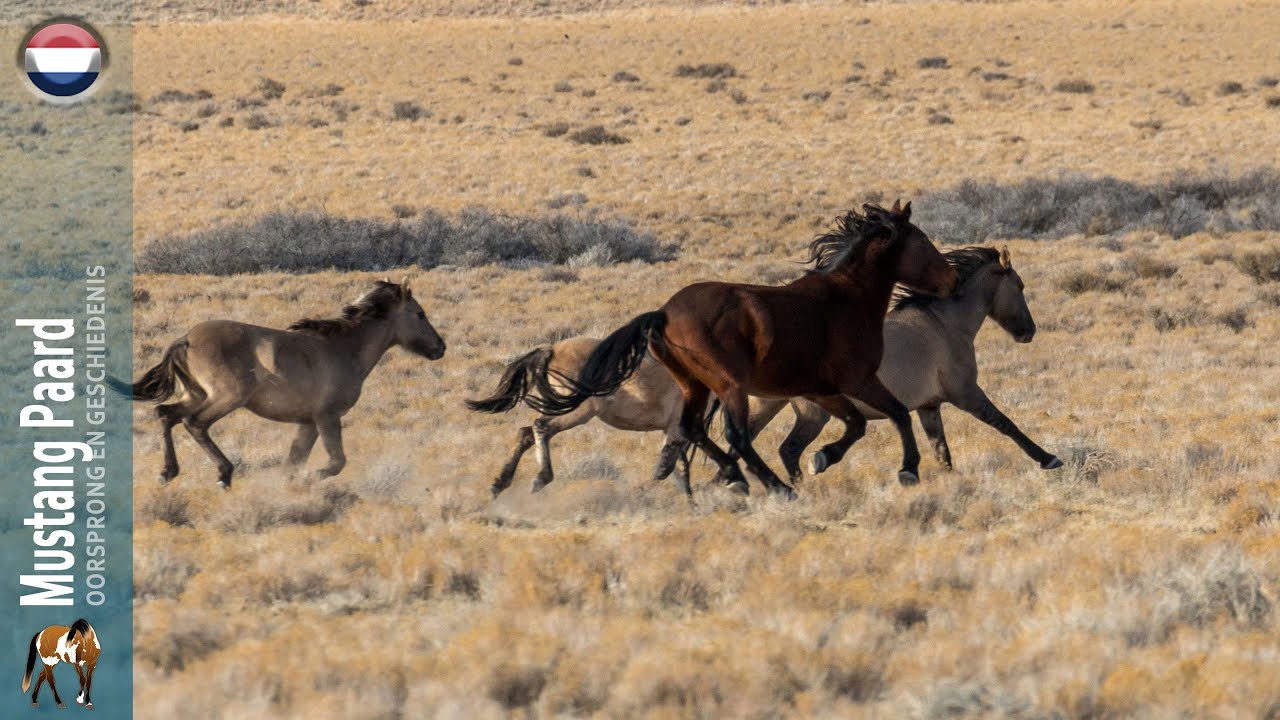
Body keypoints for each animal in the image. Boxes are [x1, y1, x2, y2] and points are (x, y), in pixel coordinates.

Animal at [109, 278, 445, 489]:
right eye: (420, 314)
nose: (440, 348)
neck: (343, 349)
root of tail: (186, 339)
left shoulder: (308, 422)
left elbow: (293, 462)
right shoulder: (327, 417)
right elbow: (336, 462)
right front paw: (308, 479)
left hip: (197, 394)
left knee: (166, 414)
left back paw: (167, 473)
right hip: (226, 398)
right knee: (194, 423)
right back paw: (223, 475)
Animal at [466, 337, 697, 497]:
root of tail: (553, 349)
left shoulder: (673, 431)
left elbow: (677, 466)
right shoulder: (677, 428)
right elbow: (670, 468)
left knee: (526, 433)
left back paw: (499, 484)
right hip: (577, 411)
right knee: (541, 427)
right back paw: (540, 478)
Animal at [537, 201, 957, 498]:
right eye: (922, 241)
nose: (952, 278)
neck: (847, 298)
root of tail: (663, 314)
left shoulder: (820, 390)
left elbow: (856, 425)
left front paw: (823, 458)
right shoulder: (858, 380)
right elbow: (898, 413)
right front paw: (908, 470)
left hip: (695, 386)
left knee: (693, 430)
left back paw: (734, 476)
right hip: (730, 386)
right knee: (734, 435)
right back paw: (774, 487)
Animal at [743, 245, 1063, 482]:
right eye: (1020, 286)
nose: (1028, 331)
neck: (945, 324)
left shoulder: (929, 406)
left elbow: (941, 450)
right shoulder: (966, 394)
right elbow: (1005, 423)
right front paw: (1048, 459)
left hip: (769, 406)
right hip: (814, 414)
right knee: (789, 450)